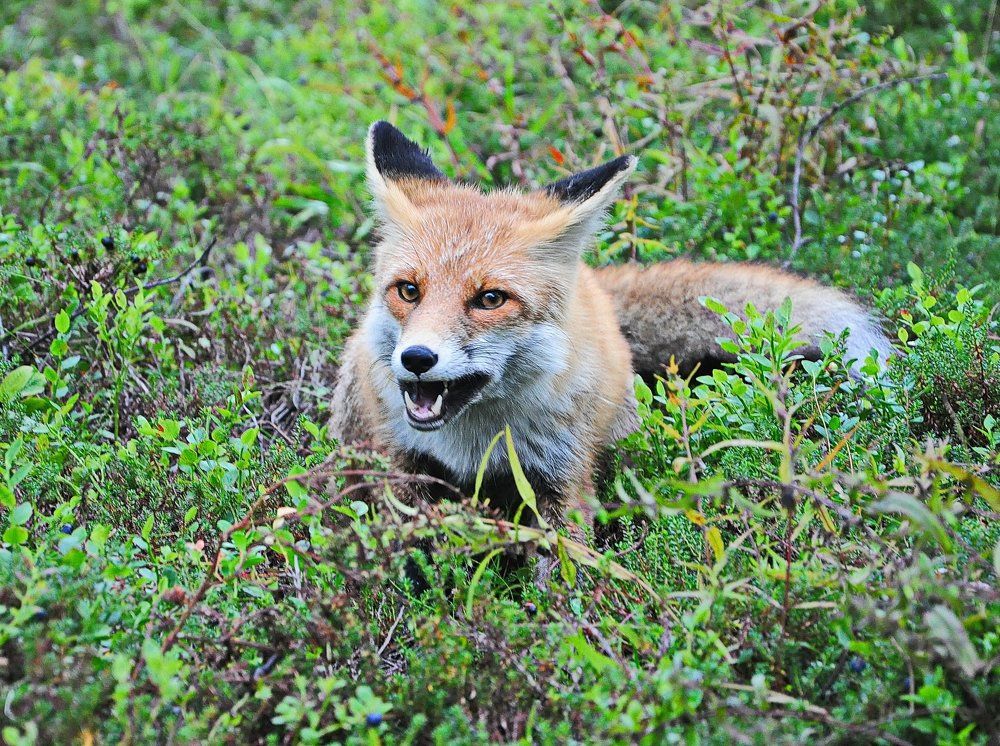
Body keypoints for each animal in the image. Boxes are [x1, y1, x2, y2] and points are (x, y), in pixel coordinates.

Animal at [330, 121, 892, 535]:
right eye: (408, 291)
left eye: (490, 299)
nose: (417, 359)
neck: (473, 445)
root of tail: (596, 288)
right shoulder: (400, 467)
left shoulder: (561, 481)